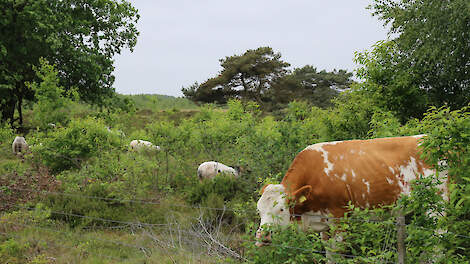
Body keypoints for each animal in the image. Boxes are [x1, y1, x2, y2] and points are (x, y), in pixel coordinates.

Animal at [255, 135, 446, 246]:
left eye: (281, 209)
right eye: (259, 211)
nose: (263, 236)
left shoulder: (340, 220)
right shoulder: (324, 226)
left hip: (438, 204)